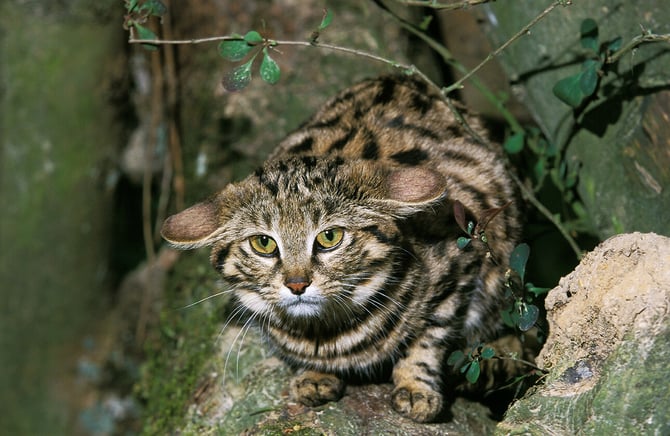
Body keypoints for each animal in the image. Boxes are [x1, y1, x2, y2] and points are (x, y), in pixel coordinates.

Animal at [161, 76, 520, 422]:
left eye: (329, 237)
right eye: (263, 243)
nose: (297, 284)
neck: (327, 334)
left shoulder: (462, 262)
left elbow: (431, 335)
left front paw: (416, 386)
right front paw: (314, 374)